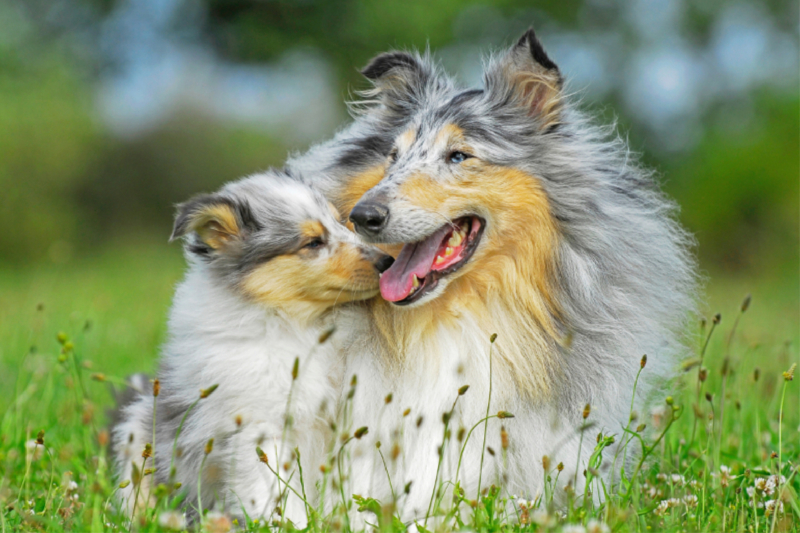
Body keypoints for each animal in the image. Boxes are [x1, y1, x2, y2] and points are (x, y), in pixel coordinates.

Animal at [111, 171, 392, 524]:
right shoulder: (258, 428)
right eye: (313, 243)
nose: (387, 260)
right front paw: (290, 526)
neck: (298, 326)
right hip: (137, 435)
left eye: (343, 223)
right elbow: (276, 496)